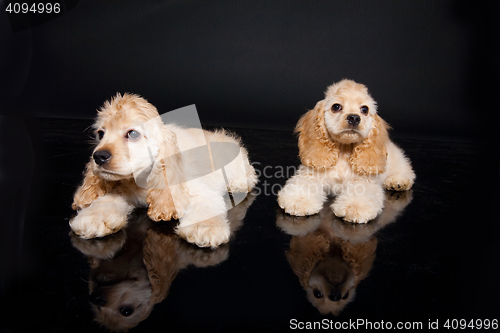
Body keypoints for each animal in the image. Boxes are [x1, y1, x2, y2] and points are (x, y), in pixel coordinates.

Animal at [70, 92, 258, 246]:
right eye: (100, 134)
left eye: (133, 134)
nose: (99, 156)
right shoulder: (122, 187)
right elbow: (107, 199)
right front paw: (93, 217)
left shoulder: (199, 189)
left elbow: (206, 205)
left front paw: (205, 228)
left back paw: (238, 184)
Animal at [278, 79, 414, 222]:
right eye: (336, 107)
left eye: (364, 109)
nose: (354, 117)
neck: (344, 150)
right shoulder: (310, 174)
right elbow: (304, 185)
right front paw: (299, 200)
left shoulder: (363, 181)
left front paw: (354, 207)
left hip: (397, 159)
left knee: (406, 170)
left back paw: (398, 182)